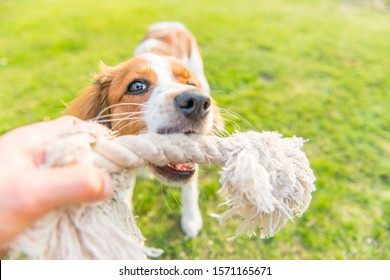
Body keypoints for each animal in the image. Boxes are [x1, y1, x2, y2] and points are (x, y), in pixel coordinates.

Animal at [67, 21, 222, 237]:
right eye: (137, 86)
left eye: (191, 84)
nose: (199, 101)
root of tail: (169, 24)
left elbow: (190, 188)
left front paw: (191, 219)